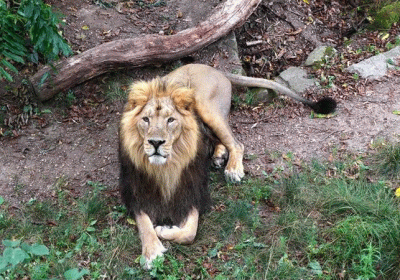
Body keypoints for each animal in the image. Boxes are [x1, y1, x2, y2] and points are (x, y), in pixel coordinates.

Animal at [118, 63, 334, 270]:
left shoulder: (195, 191)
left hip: (206, 106)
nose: (155, 142)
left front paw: (164, 230)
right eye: (145, 119)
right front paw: (151, 252)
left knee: (236, 143)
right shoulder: (135, 192)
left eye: (170, 120)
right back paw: (218, 156)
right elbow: (145, 225)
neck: (166, 166)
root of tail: (214, 68)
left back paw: (232, 169)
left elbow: (190, 232)